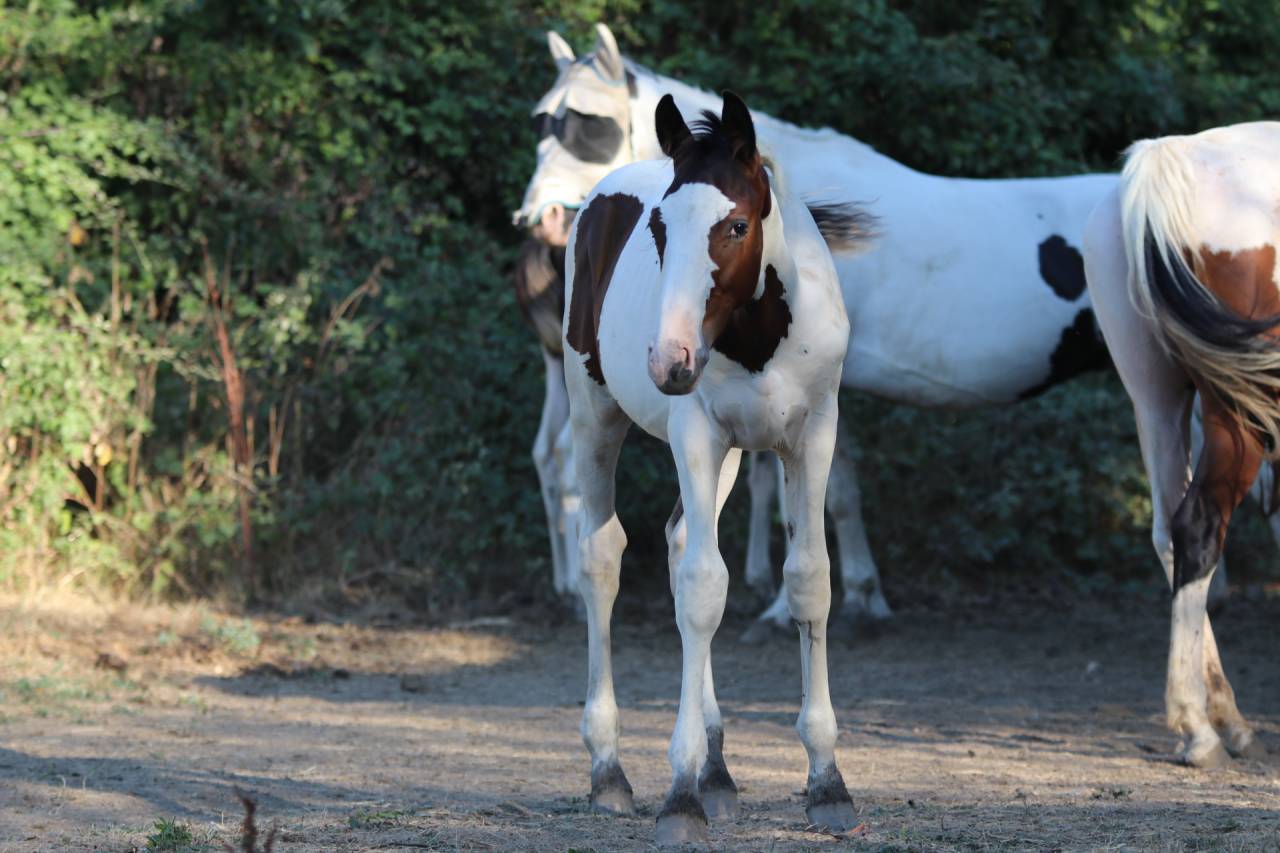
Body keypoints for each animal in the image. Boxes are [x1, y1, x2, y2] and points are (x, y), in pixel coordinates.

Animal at [516, 24, 1273, 638]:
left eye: (587, 123)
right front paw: (857, 595)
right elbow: (825, 493)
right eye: (542, 120)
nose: (537, 223)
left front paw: (803, 604)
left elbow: (812, 498)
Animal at [563, 91, 867, 843]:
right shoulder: (696, 433)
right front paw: (679, 797)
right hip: (594, 417)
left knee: (678, 542)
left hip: (727, 459)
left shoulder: (812, 435)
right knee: (603, 558)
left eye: (736, 224)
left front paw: (828, 782)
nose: (669, 360)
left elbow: (808, 580)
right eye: (658, 228)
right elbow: (706, 590)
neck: (759, 334)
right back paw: (610, 770)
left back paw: (720, 771)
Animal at [1083, 122, 1280, 767]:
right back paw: (1197, 726)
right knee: (1199, 526)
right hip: (1237, 412)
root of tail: (1169, 156)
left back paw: (1224, 720)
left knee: (1171, 532)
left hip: (1155, 397)